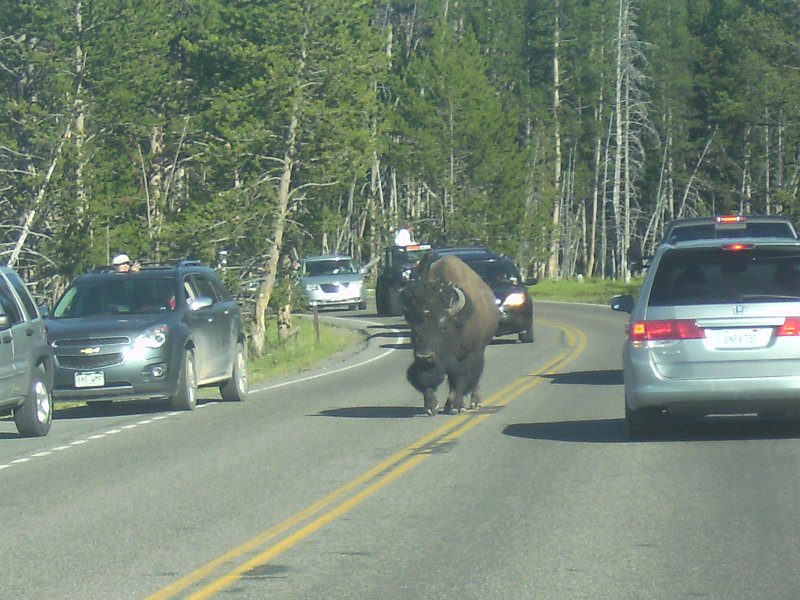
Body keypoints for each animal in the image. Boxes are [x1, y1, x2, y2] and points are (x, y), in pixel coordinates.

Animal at [400, 255, 500, 414]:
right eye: (413, 326)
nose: (425, 355)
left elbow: (460, 378)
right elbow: (428, 377)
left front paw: (458, 407)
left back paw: (475, 402)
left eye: (444, 326)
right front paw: (431, 406)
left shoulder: (469, 353)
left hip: (480, 349)